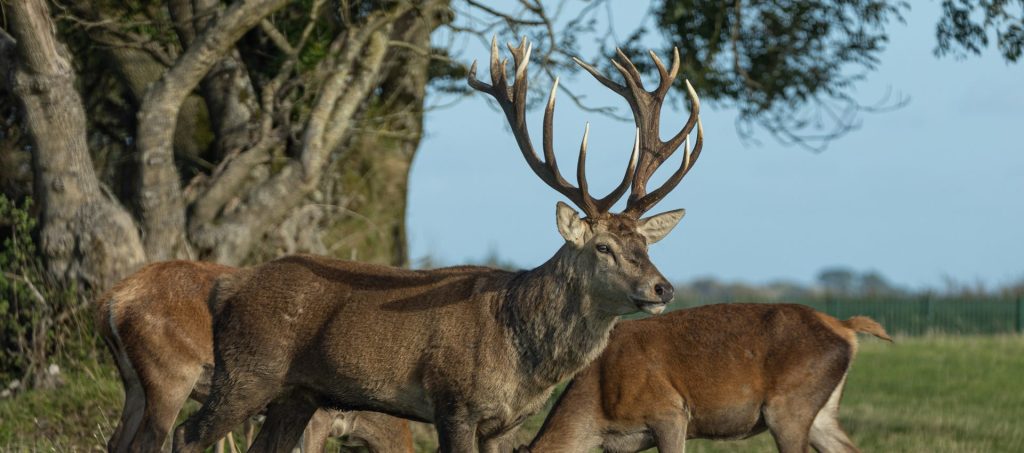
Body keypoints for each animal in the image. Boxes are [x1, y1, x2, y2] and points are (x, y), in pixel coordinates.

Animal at [170, 36, 705, 453]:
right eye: (603, 247)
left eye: (645, 244)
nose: (662, 288)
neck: (521, 360)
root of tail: (226, 290)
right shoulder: (454, 403)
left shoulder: (501, 424)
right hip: (247, 371)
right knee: (186, 434)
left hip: (294, 393)